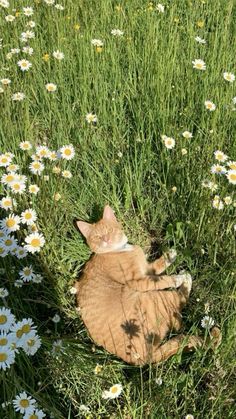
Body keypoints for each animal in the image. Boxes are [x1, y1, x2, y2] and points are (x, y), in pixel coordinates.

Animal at [74, 206, 220, 364]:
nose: (106, 240)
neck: (118, 250)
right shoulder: (139, 281)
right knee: (181, 300)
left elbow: (158, 266)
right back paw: (185, 278)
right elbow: (163, 279)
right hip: (159, 297)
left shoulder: (147, 270)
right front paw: (177, 278)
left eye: (110, 230)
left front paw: (170, 255)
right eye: (97, 237)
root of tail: (145, 358)